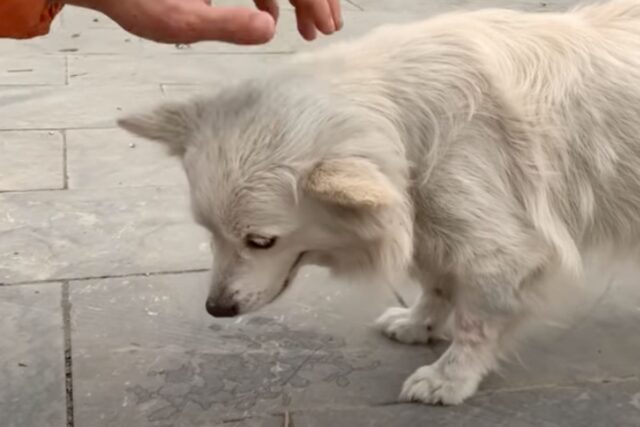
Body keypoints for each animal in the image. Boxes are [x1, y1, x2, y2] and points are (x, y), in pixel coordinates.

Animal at [117, 0, 640, 406]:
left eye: (261, 241)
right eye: (208, 234)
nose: (217, 309)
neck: (402, 117)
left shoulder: (501, 250)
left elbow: (476, 321)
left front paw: (450, 377)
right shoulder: (430, 220)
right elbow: (437, 281)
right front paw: (420, 322)